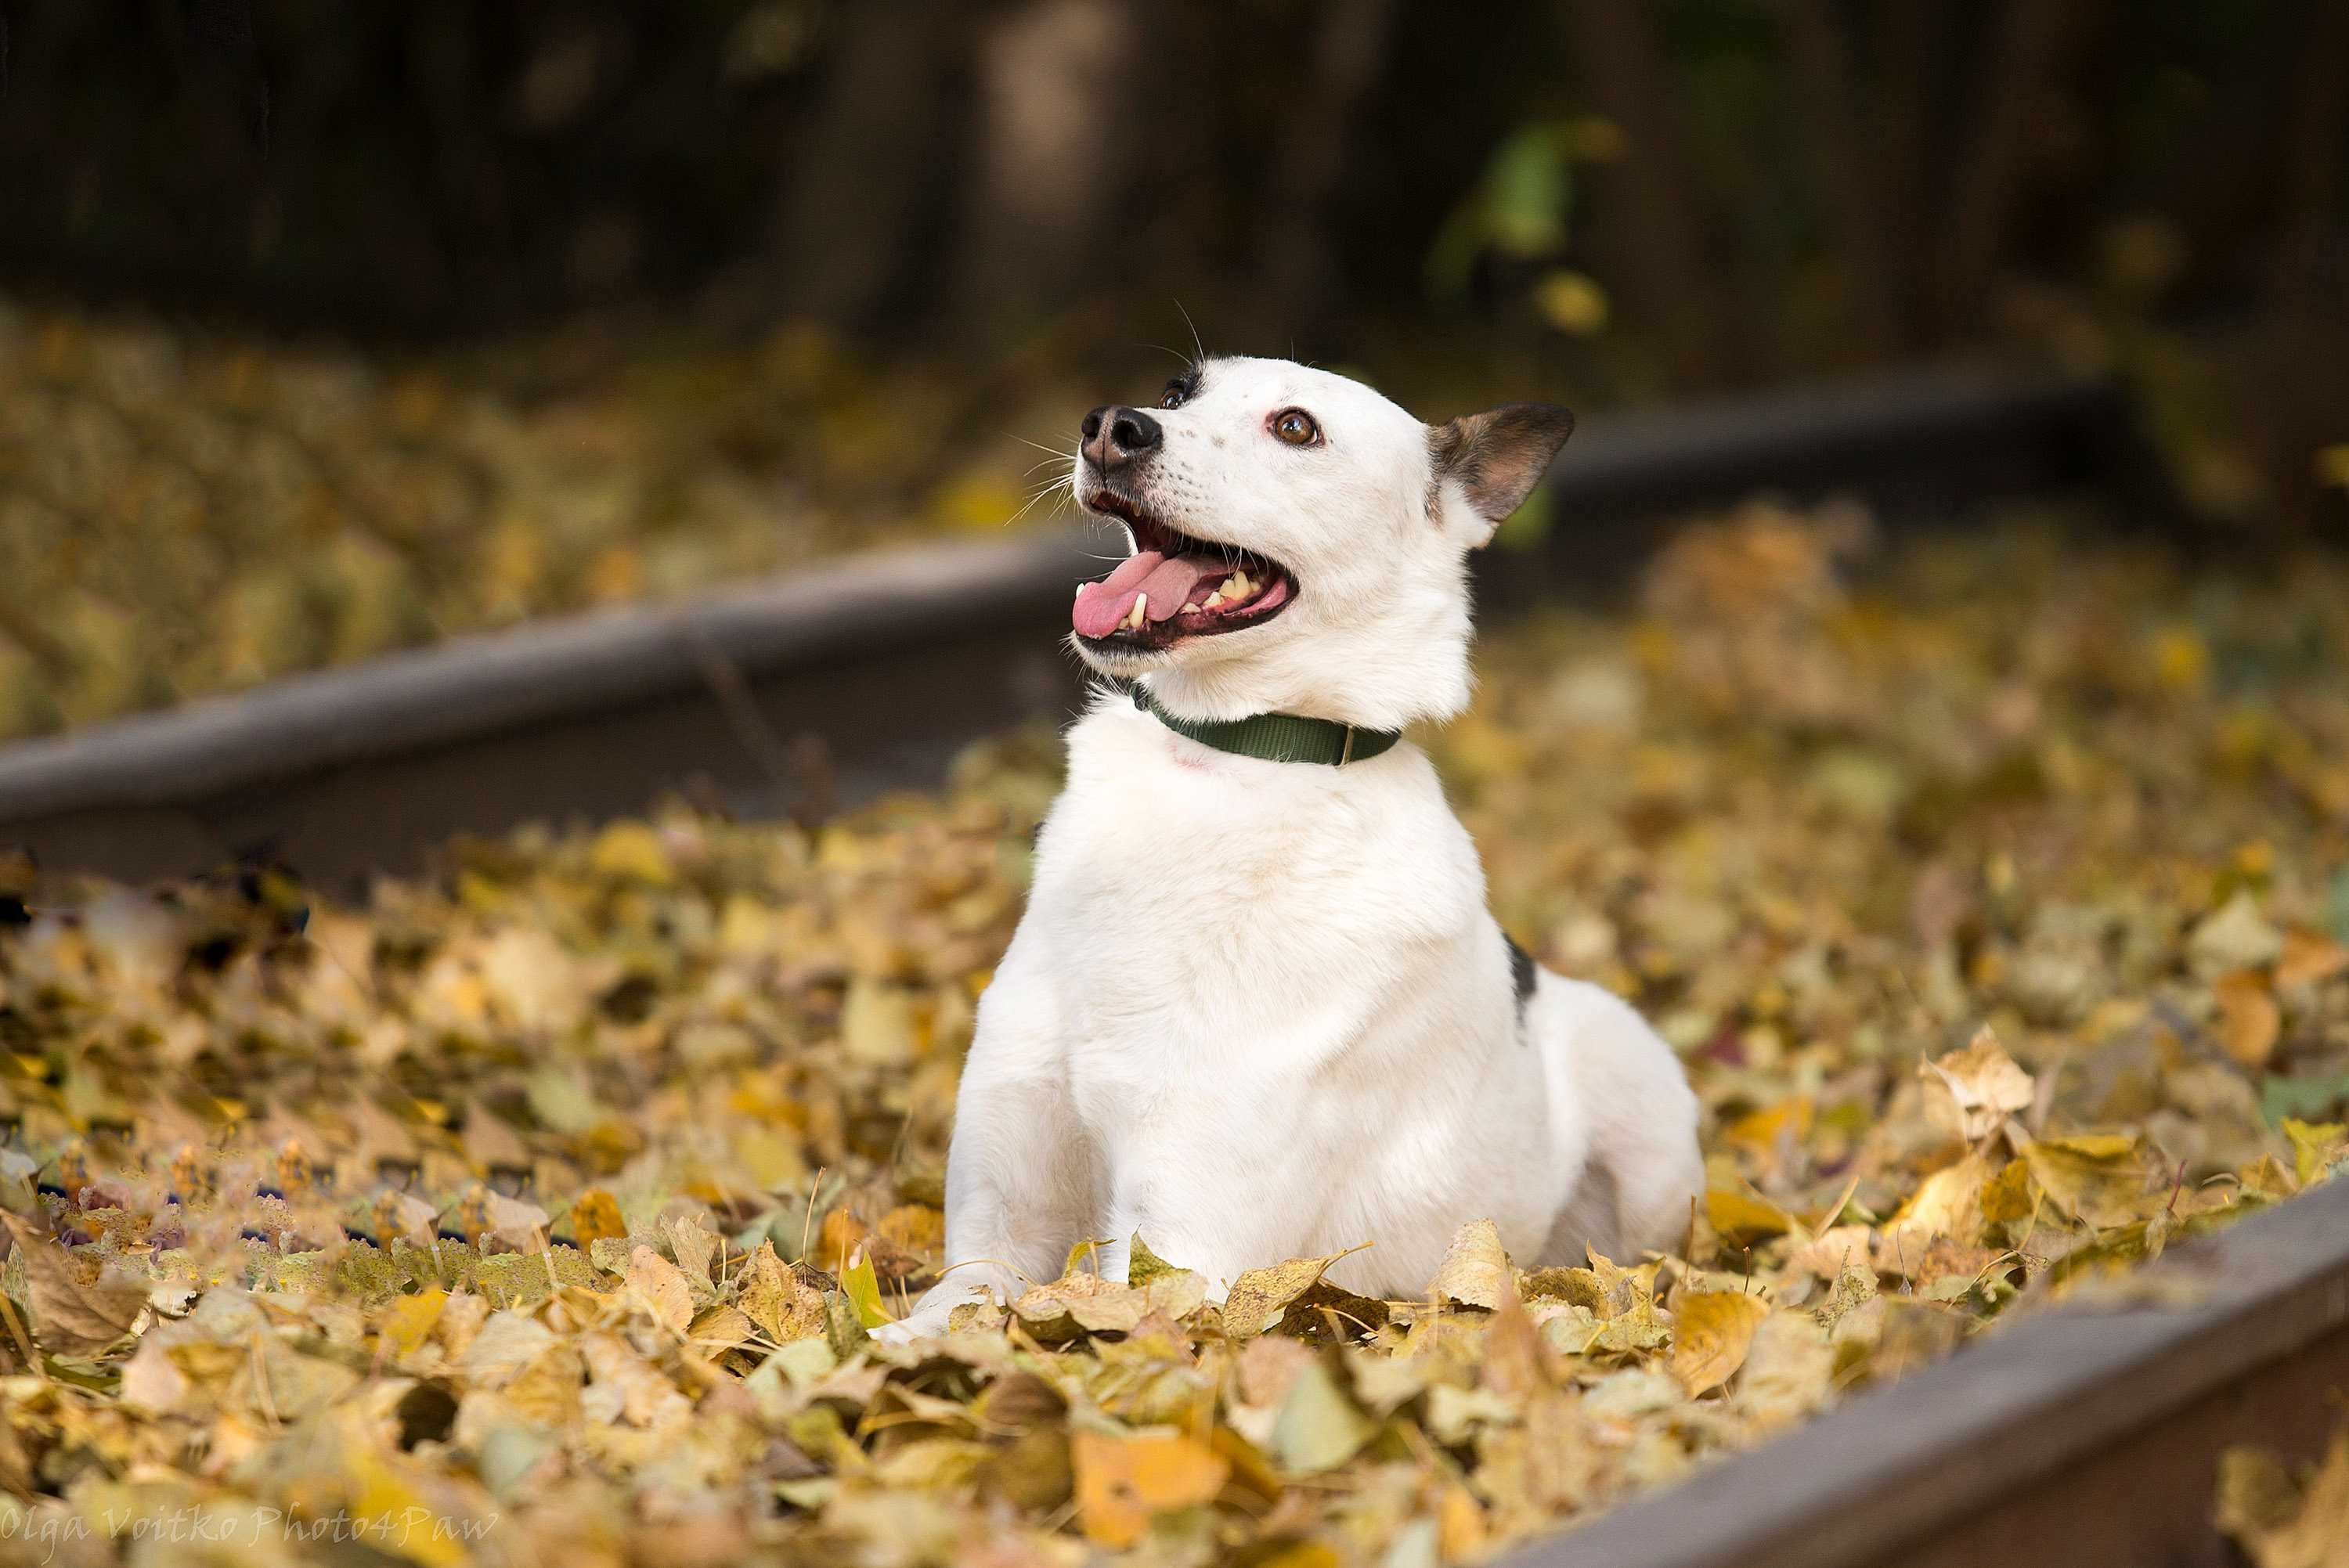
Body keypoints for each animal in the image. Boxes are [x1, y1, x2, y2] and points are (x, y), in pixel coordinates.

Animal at [888, 359, 1701, 1333]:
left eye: (1296, 428)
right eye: (1176, 390)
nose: (1113, 427)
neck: (1224, 758)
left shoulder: (1184, 1264)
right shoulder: (998, 1233)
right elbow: (938, 1319)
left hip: (1644, 1102)